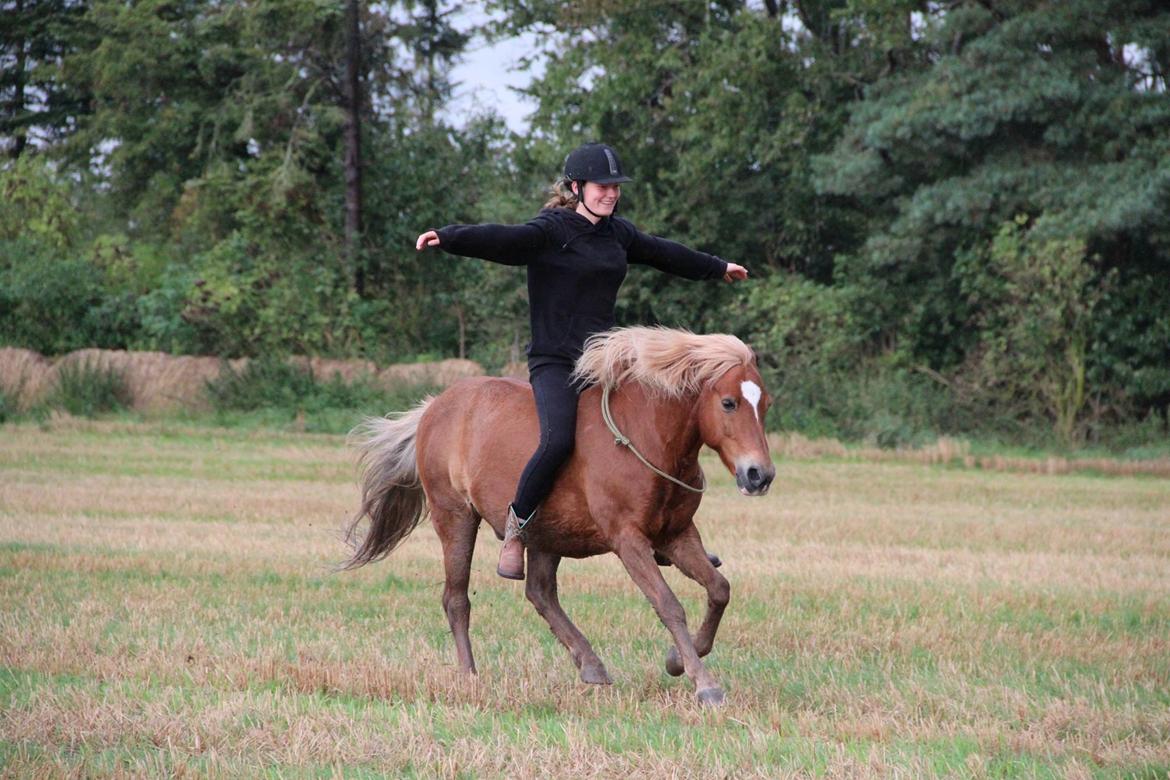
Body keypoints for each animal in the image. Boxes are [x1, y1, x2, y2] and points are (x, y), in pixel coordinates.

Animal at [339, 327, 776, 706]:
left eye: (765, 404)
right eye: (729, 402)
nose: (760, 475)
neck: (647, 437)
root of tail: (434, 408)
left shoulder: (677, 534)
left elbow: (719, 589)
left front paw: (676, 660)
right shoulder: (629, 540)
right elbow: (668, 605)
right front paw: (705, 684)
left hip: (547, 532)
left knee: (540, 593)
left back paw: (590, 663)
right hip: (455, 516)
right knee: (456, 598)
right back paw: (469, 676)